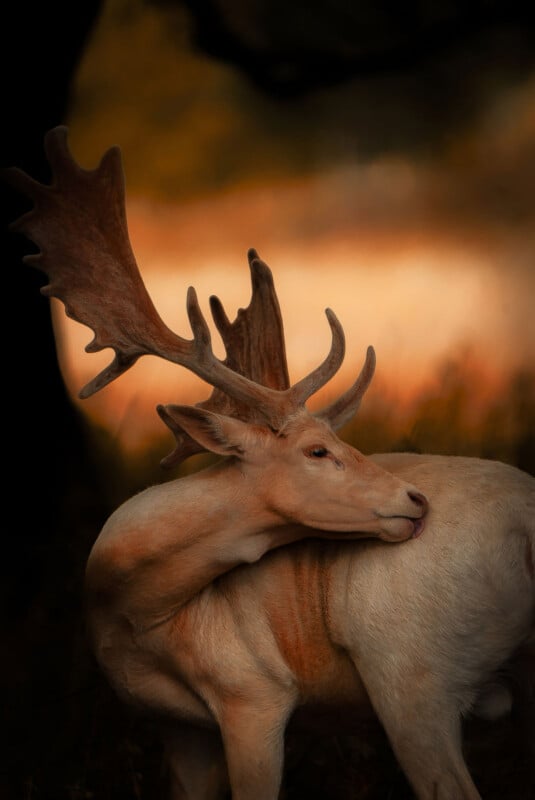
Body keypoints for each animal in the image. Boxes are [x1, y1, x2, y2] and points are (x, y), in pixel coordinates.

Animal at [7, 127, 535, 800]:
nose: (415, 500)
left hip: (409, 670)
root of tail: (524, 526)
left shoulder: (254, 693)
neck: (134, 613)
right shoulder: (178, 730)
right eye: (317, 449)